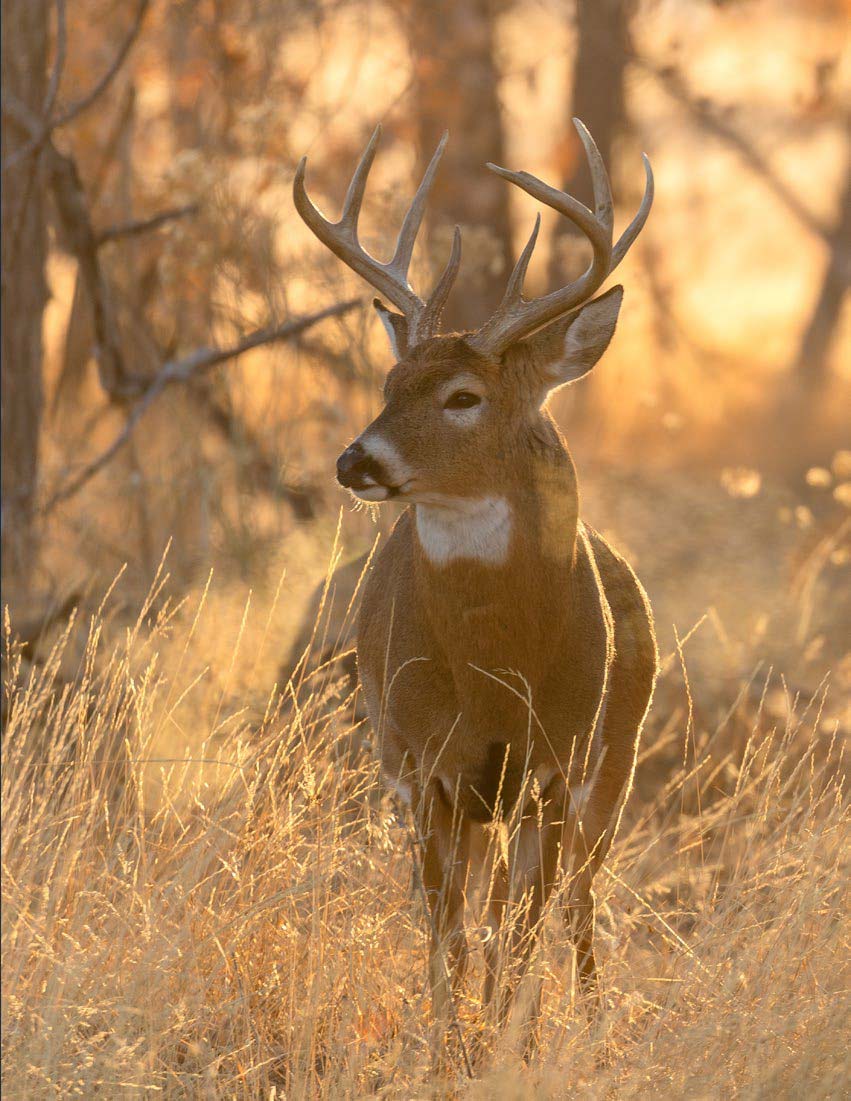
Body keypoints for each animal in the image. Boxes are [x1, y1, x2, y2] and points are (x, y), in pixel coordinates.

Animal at [295, 120, 660, 1056]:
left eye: (463, 395)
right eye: (389, 384)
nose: (354, 460)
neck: (495, 672)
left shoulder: (555, 762)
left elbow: (516, 936)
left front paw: (506, 1050)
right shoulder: (423, 765)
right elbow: (448, 937)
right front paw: (451, 1052)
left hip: (614, 760)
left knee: (576, 904)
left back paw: (589, 1018)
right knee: (484, 907)